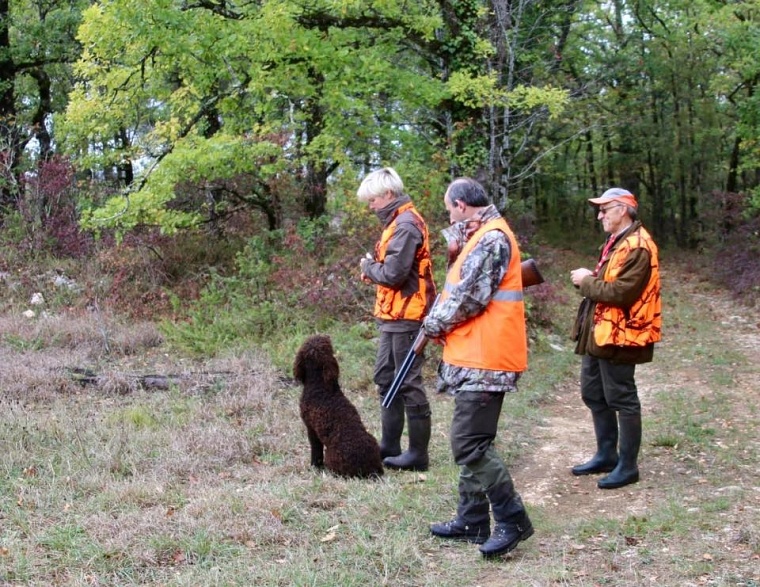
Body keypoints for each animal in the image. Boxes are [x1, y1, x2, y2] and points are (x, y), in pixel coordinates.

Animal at [294, 334, 382, 480]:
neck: (320, 387)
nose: (327, 335)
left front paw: (315, 467)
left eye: (325, 342)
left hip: (332, 457)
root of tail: (370, 468)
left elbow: (316, 451)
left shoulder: (311, 428)